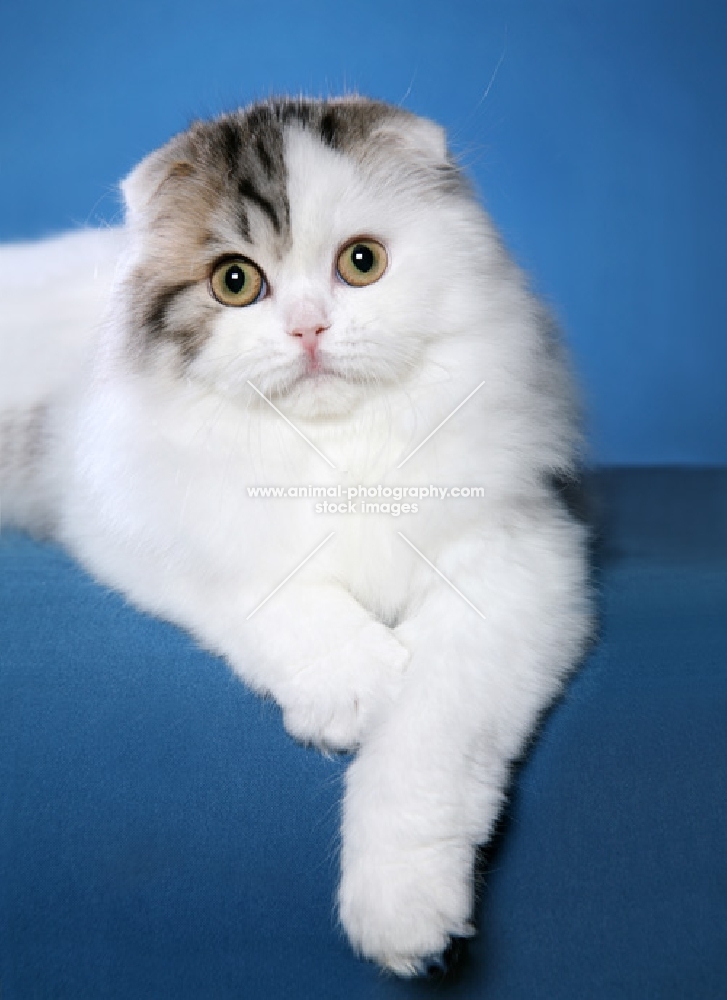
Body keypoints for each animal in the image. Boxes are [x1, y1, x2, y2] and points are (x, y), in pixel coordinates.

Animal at [0, 99, 592, 976]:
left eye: (361, 262)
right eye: (235, 282)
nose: (309, 329)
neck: (333, 449)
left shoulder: (513, 570)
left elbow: (424, 751)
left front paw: (401, 912)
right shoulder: (134, 520)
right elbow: (285, 598)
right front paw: (359, 687)